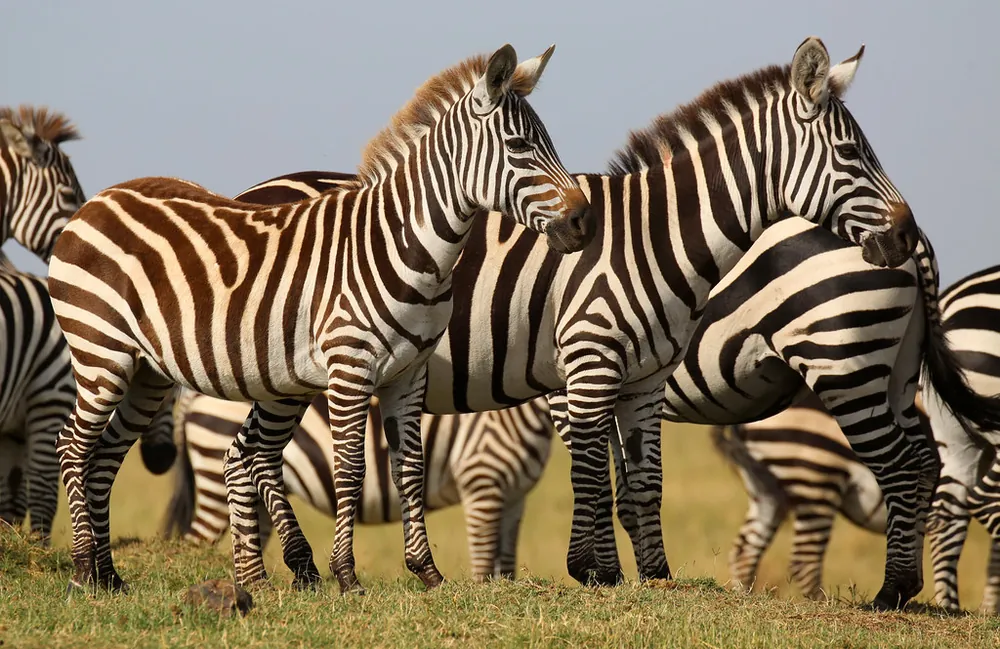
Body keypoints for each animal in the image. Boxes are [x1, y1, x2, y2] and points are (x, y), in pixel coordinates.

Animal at [163, 391, 553, 579]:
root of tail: (192, 396)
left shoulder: (515, 497)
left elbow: (507, 566)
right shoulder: (482, 482)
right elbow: (486, 566)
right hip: (214, 479)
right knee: (194, 544)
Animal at [225, 37, 923, 608]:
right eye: (850, 153)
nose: (905, 234)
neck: (654, 237)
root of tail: (250, 194)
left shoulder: (643, 378)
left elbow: (643, 482)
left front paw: (654, 578)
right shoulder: (589, 362)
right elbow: (592, 474)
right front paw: (597, 574)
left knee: (248, 454)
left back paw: (283, 572)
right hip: (844, 363)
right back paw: (894, 589)